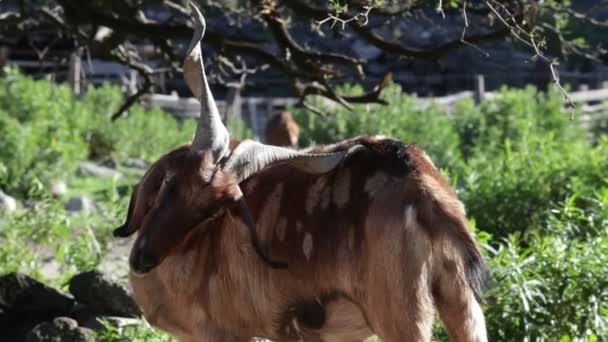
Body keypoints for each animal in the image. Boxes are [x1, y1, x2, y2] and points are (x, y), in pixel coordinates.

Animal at [114, 3, 490, 342]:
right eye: (171, 182)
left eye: (210, 211)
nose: (143, 258)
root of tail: (423, 188)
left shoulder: (221, 331)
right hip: (460, 301)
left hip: (401, 310)